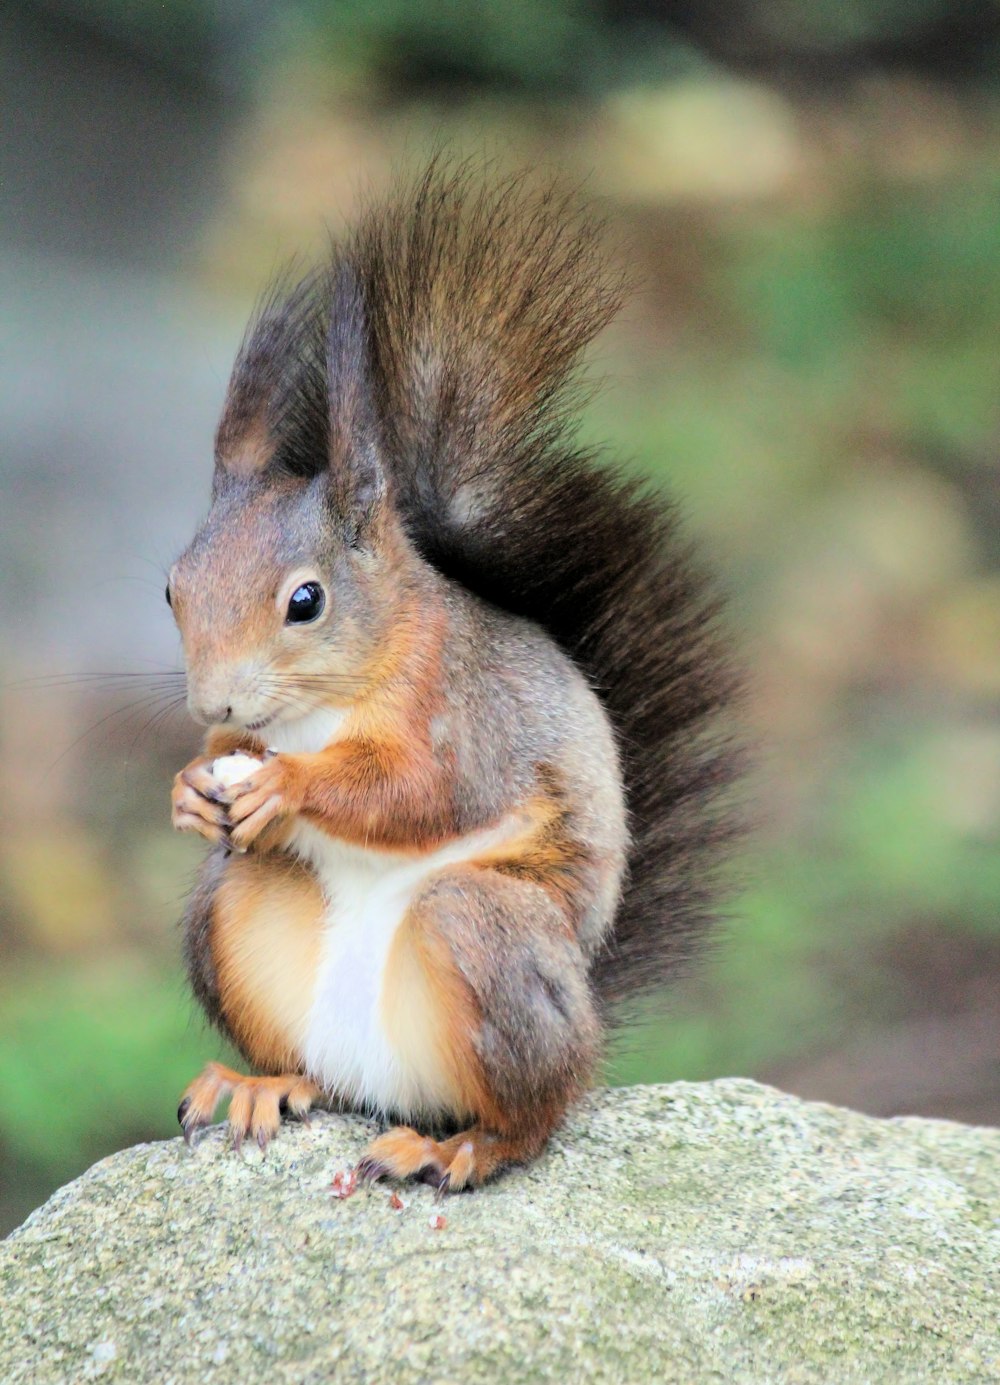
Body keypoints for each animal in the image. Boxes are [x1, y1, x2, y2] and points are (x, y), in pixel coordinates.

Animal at [167, 164, 736, 1191]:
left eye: (305, 600)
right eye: (171, 588)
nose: (214, 699)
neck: (324, 704)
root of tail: (389, 1084)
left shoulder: (465, 711)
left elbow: (428, 790)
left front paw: (288, 783)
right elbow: (231, 755)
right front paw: (195, 783)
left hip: (487, 935)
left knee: (535, 1114)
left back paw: (460, 1147)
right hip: (234, 910)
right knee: (309, 1060)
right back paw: (261, 1083)